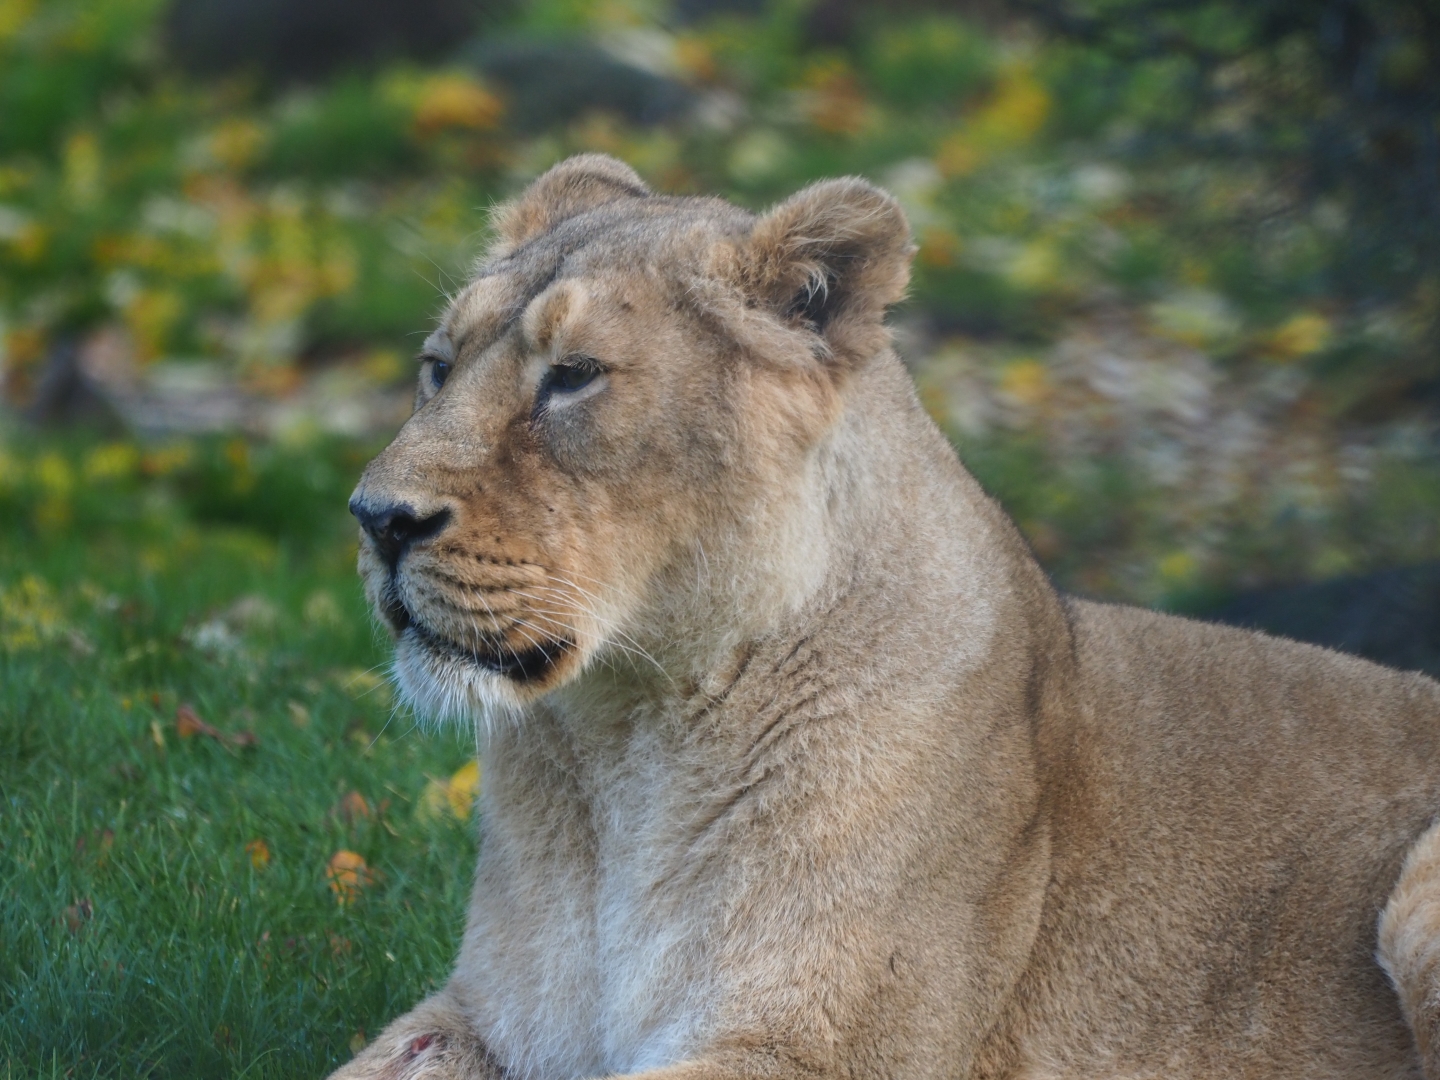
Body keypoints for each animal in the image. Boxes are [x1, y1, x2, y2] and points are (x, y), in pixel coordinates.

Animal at [340, 153, 1440, 1080]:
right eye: (438, 366)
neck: (625, 749)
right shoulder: (481, 1017)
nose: (376, 518)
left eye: (573, 376)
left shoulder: (823, 1052)